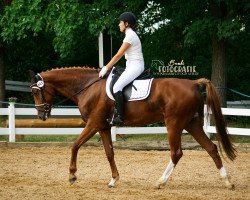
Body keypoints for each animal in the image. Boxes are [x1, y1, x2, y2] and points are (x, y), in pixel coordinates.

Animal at [29, 67, 236, 189]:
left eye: (35, 91)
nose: (41, 115)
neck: (88, 86)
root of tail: (193, 83)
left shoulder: (93, 123)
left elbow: (75, 145)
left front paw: (72, 175)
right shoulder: (103, 127)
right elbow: (109, 153)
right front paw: (114, 179)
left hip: (174, 123)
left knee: (176, 153)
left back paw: (160, 181)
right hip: (191, 123)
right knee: (211, 148)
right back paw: (227, 181)